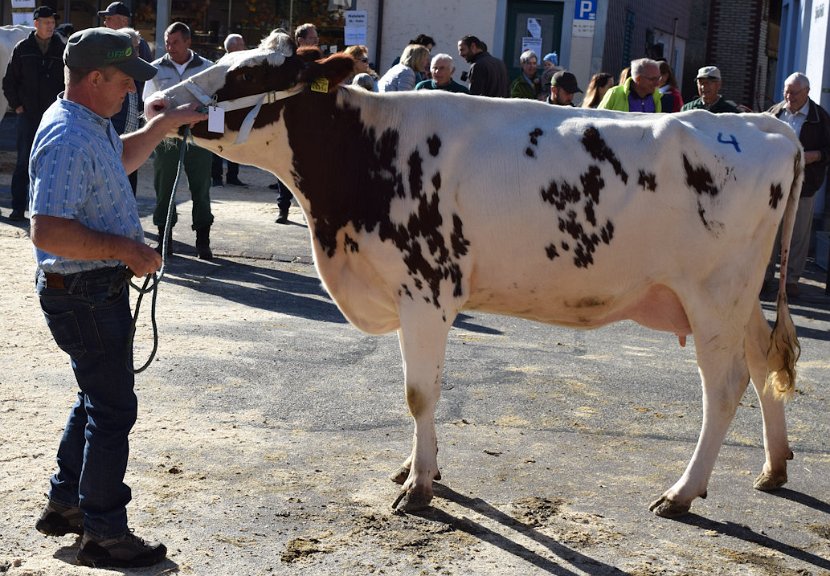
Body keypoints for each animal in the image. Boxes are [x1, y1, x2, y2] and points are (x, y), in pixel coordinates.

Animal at [146, 30, 804, 516]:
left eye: (248, 75)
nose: (154, 103)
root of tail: (765, 124)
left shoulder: (426, 289)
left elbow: (418, 393)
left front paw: (420, 488)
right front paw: (419, 469)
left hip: (715, 295)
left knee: (724, 387)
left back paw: (682, 493)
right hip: (739, 299)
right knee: (763, 364)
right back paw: (772, 468)